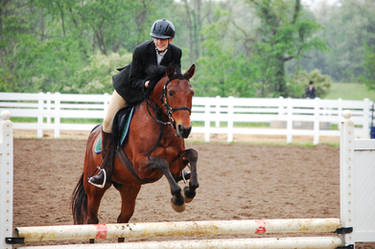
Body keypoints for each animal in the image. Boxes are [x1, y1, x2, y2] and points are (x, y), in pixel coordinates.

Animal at [71, 63, 200, 235]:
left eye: (191, 93)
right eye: (171, 92)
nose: (184, 129)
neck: (161, 125)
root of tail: (93, 133)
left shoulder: (176, 163)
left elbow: (193, 154)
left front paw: (190, 191)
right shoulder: (141, 166)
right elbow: (162, 163)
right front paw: (178, 199)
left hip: (129, 188)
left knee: (122, 220)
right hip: (94, 191)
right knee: (91, 221)